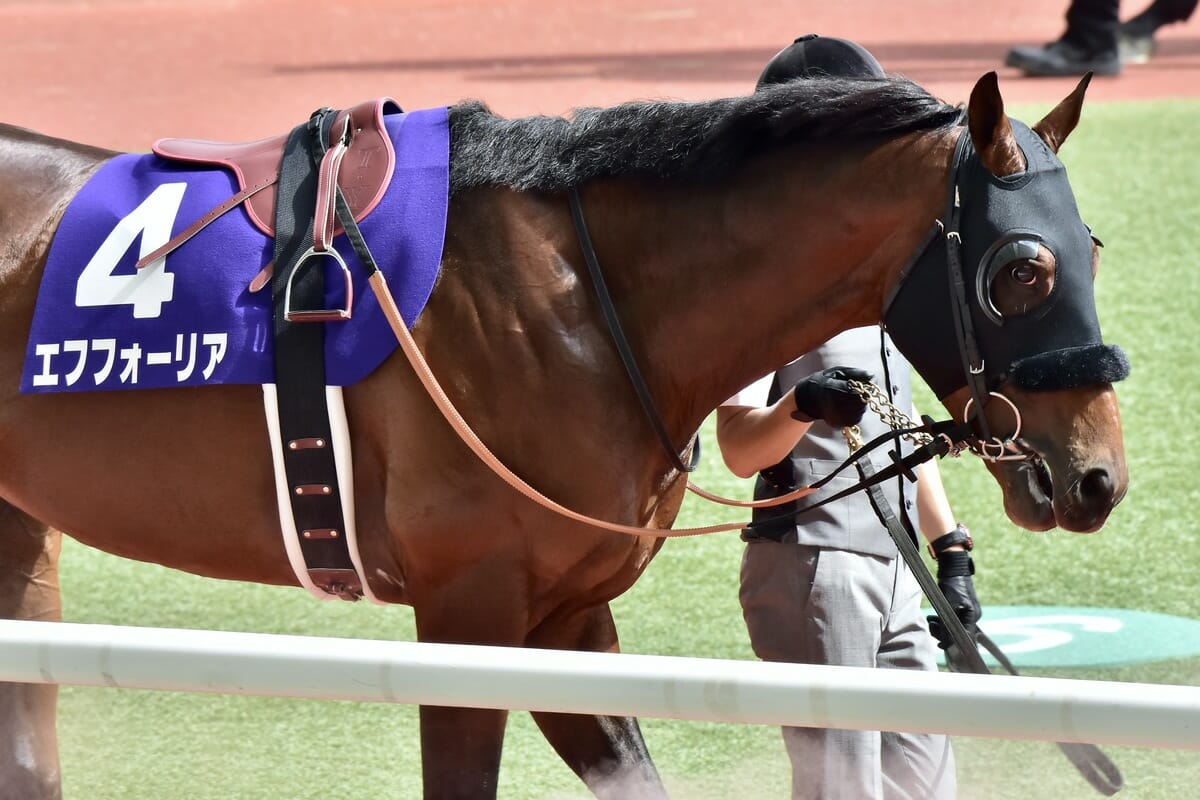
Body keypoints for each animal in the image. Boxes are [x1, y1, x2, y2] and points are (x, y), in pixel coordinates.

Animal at [0, 71, 1123, 796]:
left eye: (1095, 246)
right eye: (1023, 266)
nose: (1097, 475)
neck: (585, 297)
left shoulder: (567, 617)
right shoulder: (469, 613)